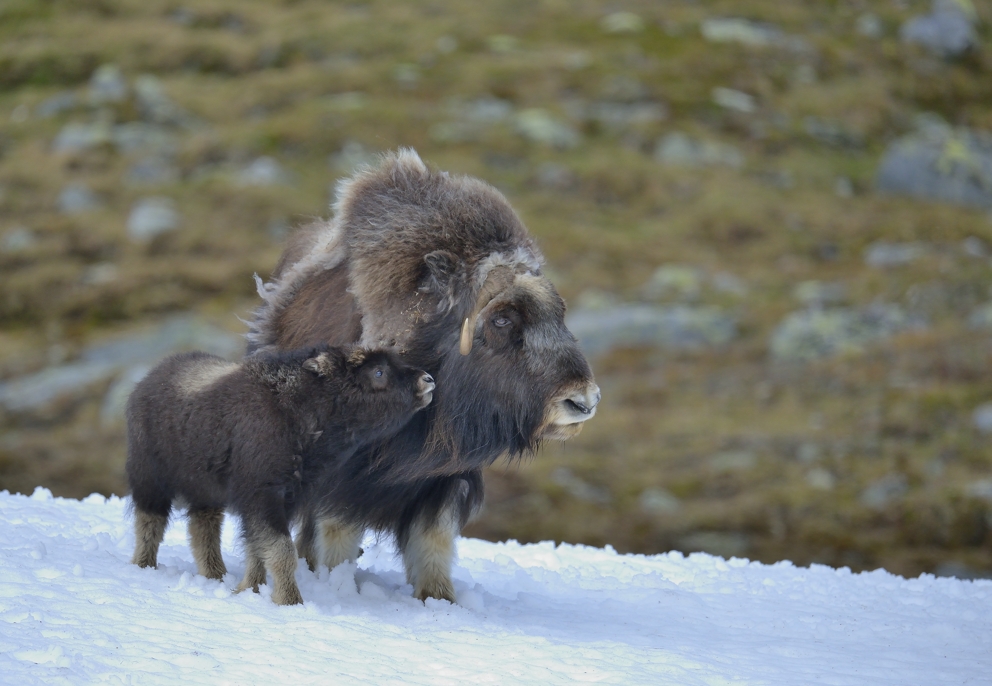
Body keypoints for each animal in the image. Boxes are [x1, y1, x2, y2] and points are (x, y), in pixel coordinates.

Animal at [125, 346, 434, 604]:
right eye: (378, 371)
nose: (428, 380)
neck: (301, 408)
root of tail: (147, 381)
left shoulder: (286, 499)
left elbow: (258, 548)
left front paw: (251, 589)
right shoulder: (264, 495)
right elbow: (282, 550)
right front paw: (289, 601)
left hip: (205, 492)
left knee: (203, 526)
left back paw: (216, 575)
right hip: (150, 478)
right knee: (150, 521)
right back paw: (144, 566)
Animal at [247, 150, 600, 600]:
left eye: (560, 313)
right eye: (502, 319)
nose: (584, 401)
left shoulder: (445, 480)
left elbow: (434, 540)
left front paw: (438, 599)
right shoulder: (344, 478)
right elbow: (337, 534)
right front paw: (339, 588)